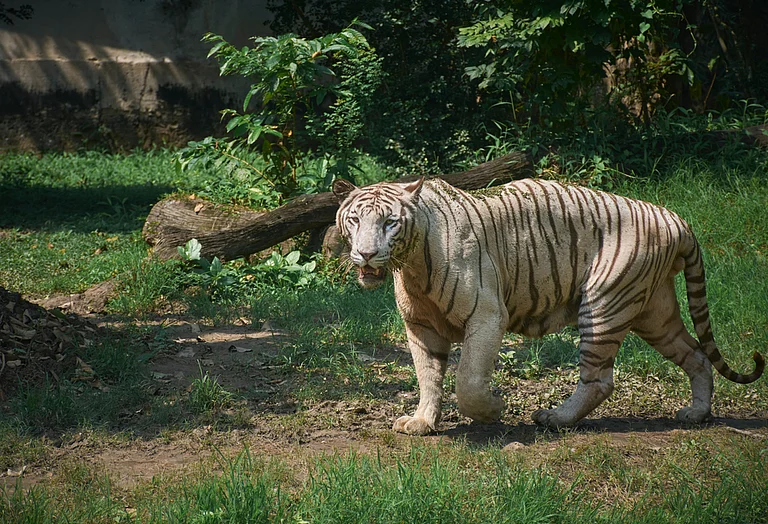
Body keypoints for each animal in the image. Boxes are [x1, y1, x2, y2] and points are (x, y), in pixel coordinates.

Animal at [332, 176, 764, 435]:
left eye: (389, 222)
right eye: (354, 220)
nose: (366, 254)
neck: (412, 266)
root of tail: (676, 219)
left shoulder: (487, 315)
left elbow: (467, 380)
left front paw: (492, 409)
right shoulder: (420, 327)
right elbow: (428, 377)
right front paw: (421, 421)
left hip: (603, 303)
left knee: (599, 379)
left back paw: (555, 417)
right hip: (654, 313)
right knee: (697, 355)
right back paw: (697, 414)